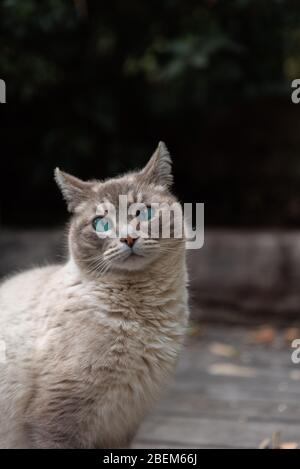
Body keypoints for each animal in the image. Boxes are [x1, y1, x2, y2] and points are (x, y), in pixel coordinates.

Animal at [0, 141, 189, 448]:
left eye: (144, 213)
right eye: (101, 225)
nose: (128, 238)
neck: (145, 315)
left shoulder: (122, 425)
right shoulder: (59, 418)